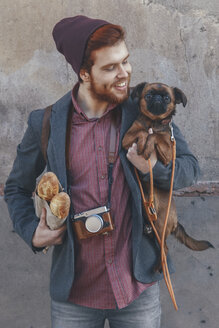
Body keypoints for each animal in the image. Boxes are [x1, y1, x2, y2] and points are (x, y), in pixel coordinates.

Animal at [122, 82, 213, 270]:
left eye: (166, 98)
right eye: (148, 95)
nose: (157, 98)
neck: (154, 121)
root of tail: (176, 221)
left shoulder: (168, 155)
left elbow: (154, 135)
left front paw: (147, 146)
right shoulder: (127, 139)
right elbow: (143, 132)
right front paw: (143, 143)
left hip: (160, 224)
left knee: (165, 248)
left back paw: (158, 267)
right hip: (154, 225)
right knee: (162, 247)